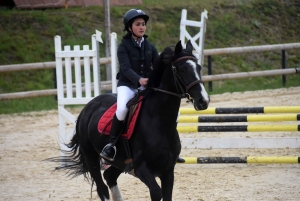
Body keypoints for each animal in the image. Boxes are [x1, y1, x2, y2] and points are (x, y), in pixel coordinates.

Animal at [53, 40, 209, 200]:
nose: (203, 101)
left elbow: (166, 194)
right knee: (102, 187)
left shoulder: (168, 171)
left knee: (109, 176)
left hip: (120, 163)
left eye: (199, 67)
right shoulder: (141, 168)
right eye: (182, 69)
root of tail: (88, 107)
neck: (159, 123)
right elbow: (156, 191)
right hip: (91, 156)